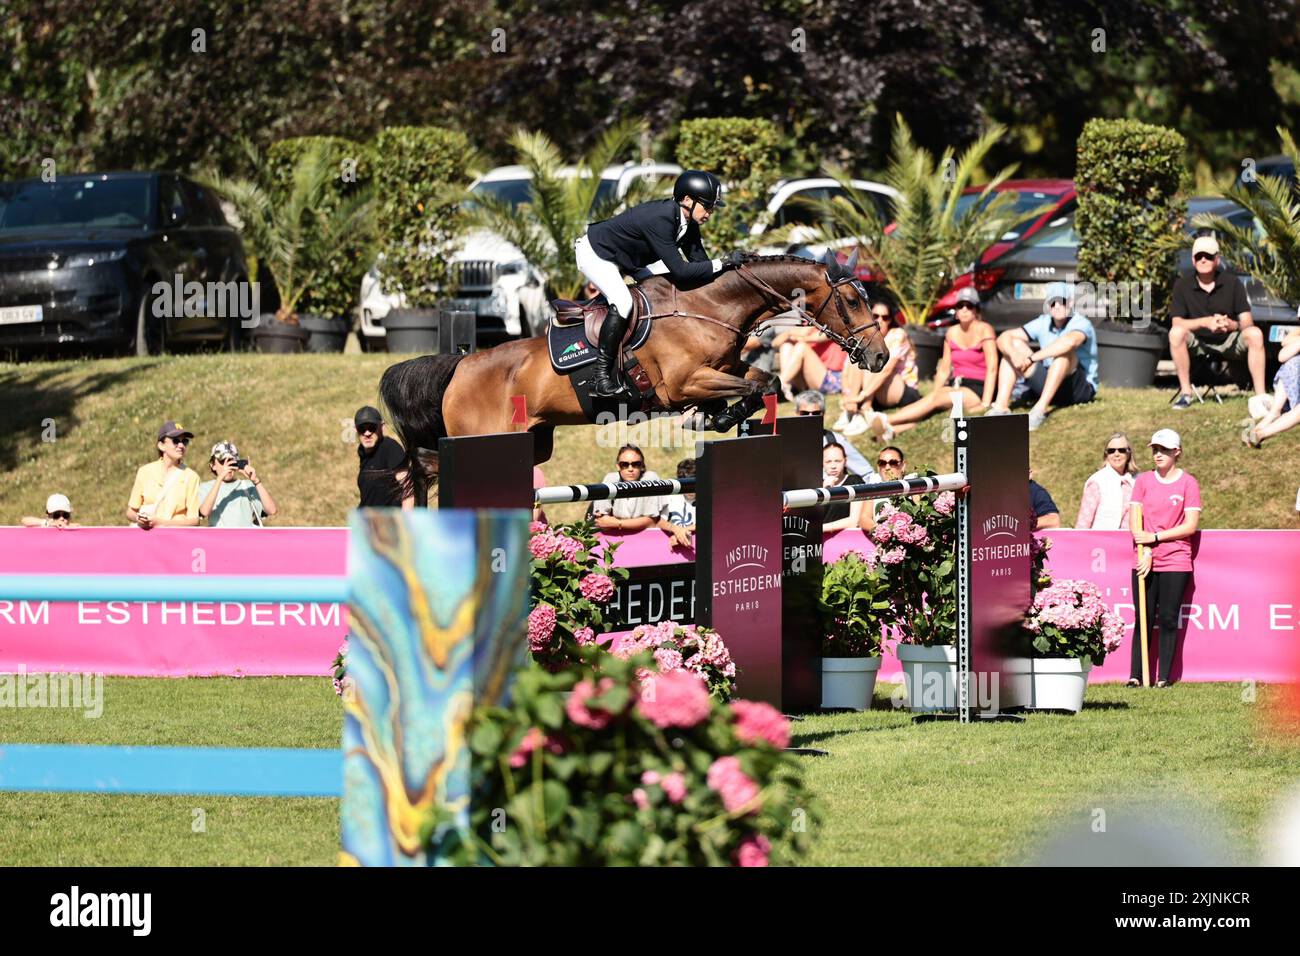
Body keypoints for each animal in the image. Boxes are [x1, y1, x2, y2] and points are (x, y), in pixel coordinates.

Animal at [377, 248, 883, 502]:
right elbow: (757, 385)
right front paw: (713, 417)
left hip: (533, 442)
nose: (878, 358)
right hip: (481, 435)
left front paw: (717, 417)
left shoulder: (722, 368)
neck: (708, 304)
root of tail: (460, 365)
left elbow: (764, 382)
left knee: (427, 465)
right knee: (430, 465)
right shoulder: (680, 384)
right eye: (851, 301)